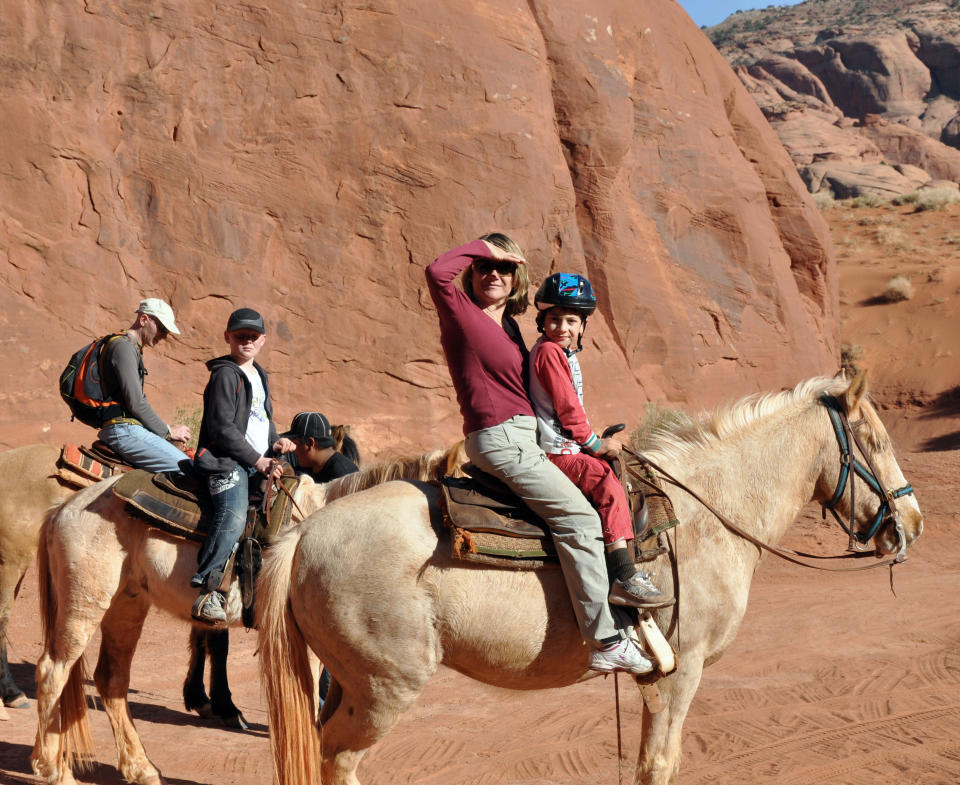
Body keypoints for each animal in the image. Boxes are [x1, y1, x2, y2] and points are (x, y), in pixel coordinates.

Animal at [30, 444, 448, 780]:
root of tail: (64, 508)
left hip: (127, 604)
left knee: (111, 679)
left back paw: (140, 768)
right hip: (84, 603)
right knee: (53, 671)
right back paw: (54, 770)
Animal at [255, 376, 924, 784]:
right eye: (874, 440)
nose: (912, 521)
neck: (706, 511)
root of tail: (304, 535)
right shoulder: (682, 671)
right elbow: (659, 766)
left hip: (345, 683)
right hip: (382, 690)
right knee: (338, 761)